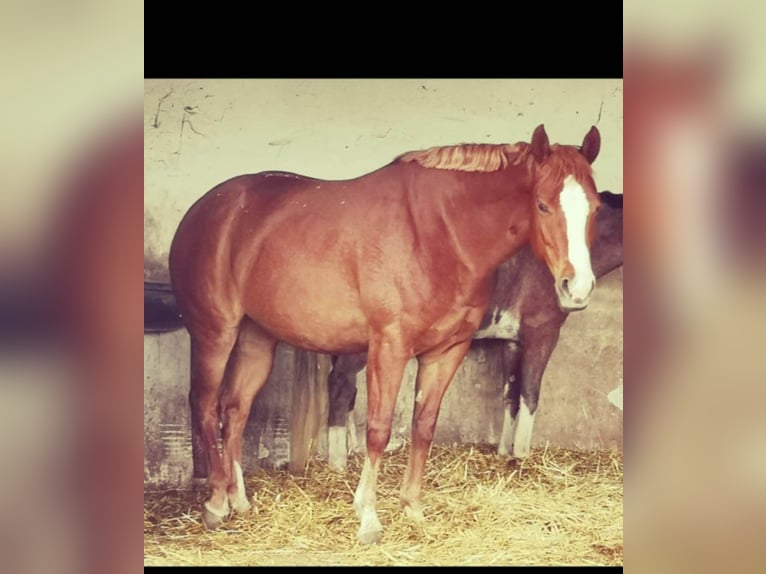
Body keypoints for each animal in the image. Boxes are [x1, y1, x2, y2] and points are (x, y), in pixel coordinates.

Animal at [325, 191, 622, 470]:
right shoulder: (542, 334)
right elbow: (529, 394)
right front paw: (521, 455)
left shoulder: (512, 341)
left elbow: (510, 394)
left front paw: (503, 451)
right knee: (340, 383)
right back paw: (338, 461)